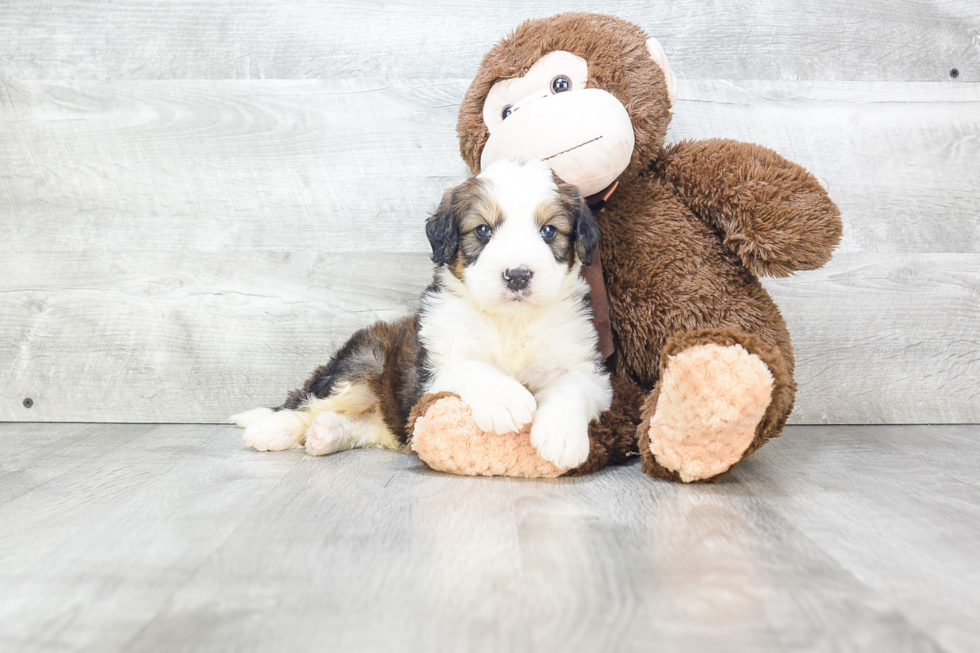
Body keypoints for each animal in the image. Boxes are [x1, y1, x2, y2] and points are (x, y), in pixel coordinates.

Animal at [233, 160, 608, 472]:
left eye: (549, 231)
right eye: (483, 230)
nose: (517, 275)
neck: (510, 321)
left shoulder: (585, 365)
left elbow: (571, 388)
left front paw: (561, 437)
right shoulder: (430, 369)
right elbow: (472, 367)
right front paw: (508, 400)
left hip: (389, 413)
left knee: (368, 426)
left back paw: (325, 433)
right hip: (360, 363)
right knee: (306, 401)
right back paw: (271, 429)